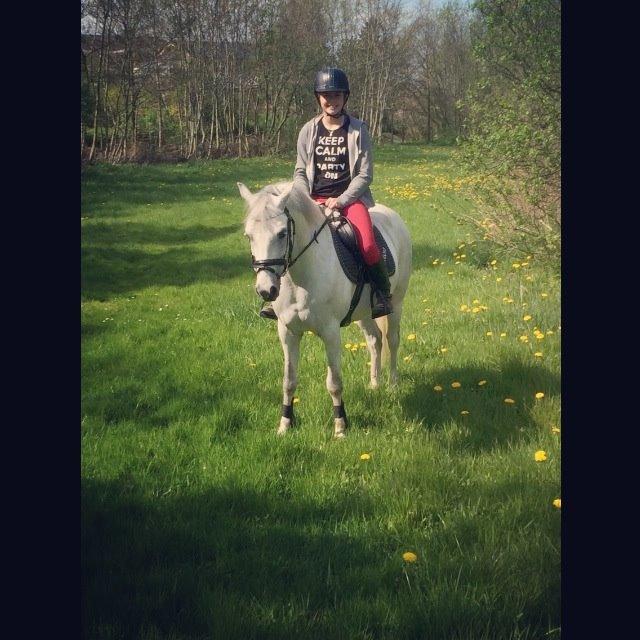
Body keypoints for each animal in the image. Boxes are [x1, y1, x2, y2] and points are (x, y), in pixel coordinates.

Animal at [238, 180, 412, 438]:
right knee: (375, 340)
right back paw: (374, 384)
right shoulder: (288, 332)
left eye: (282, 233)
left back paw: (392, 385)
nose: (266, 290)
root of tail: (393, 215)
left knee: (392, 340)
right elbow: (288, 381)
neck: (301, 279)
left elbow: (335, 383)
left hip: (397, 304)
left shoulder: (330, 333)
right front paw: (285, 424)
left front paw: (340, 427)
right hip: (363, 314)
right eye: (249, 235)